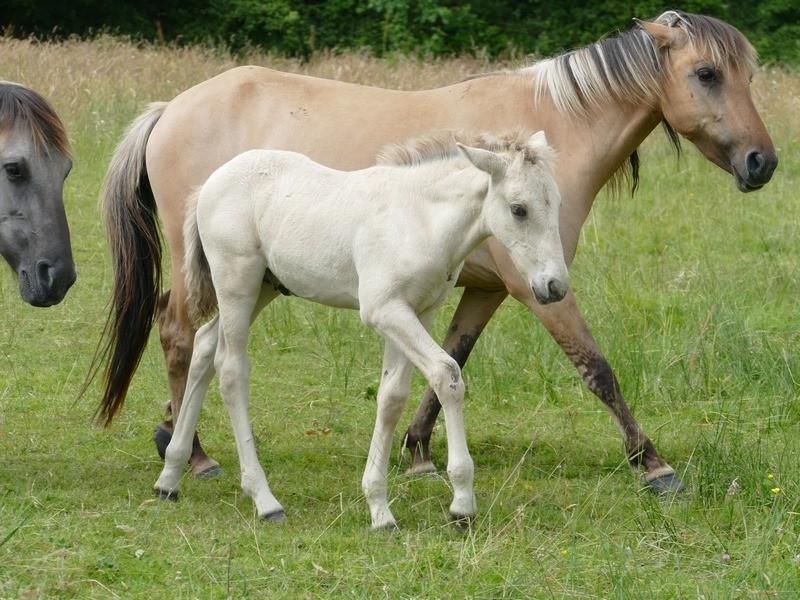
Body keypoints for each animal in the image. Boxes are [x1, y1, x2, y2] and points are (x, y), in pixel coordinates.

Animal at [155, 129, 568, 528]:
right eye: (518, 209)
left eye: (557, 203)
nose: (556, 287)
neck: (420, 218)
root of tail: (211, 181)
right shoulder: (384, 310)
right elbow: (445, 373)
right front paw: (462, 504)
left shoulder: (418, 311)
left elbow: (392, 396)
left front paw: (379, 508)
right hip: (237, 284)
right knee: (231, 369)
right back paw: (264, 499)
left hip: (264, 287)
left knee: (205, 346)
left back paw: (170, 476)